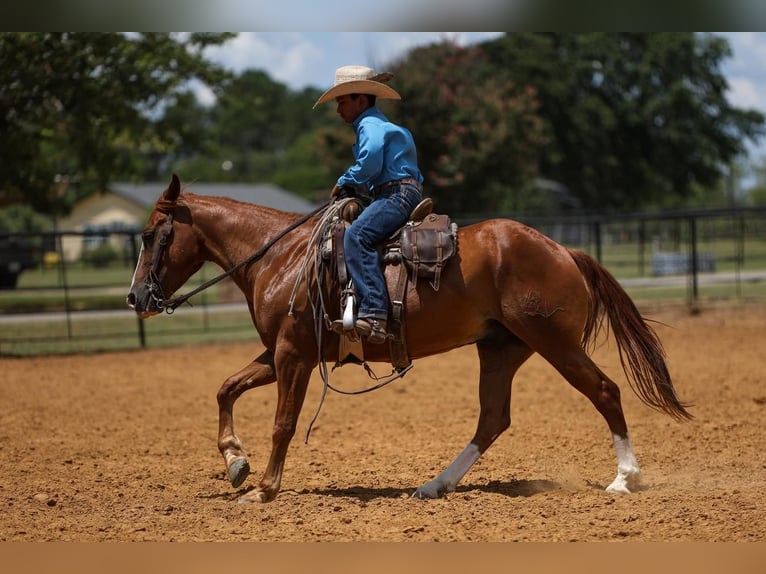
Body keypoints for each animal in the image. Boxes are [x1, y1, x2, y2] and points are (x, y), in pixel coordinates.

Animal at [127, 174, 696, 504]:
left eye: (152, 235)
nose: (136, 297)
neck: (281, 257)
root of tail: (563, 249)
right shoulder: (282, 352)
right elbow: (226, 387)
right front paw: (235, 463)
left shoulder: (293, 356)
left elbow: (282, 423)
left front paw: (264, 489)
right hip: (501, 349)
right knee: (493, 419)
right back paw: (435, 484)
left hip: (555, 343)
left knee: (604, 391)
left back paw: (624, 478)